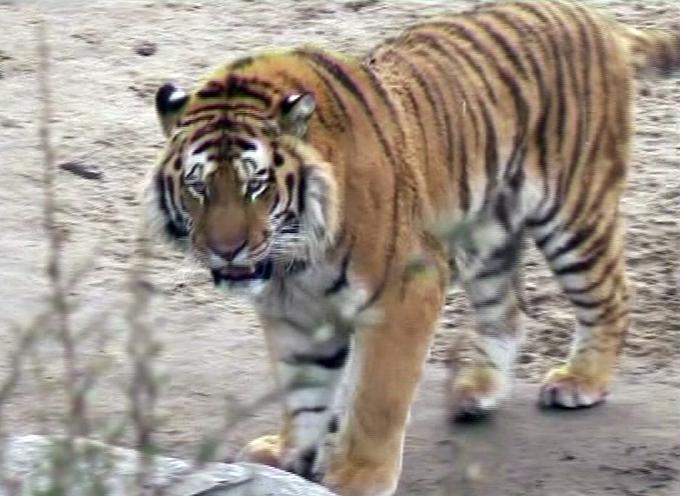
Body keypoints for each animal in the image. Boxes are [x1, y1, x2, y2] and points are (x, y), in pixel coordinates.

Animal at [143, 0, 680, 496]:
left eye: (255, 185)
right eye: (198, 187)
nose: (226, 250)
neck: (293, 261)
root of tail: (596, 18)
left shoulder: (405, 291)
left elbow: (376, 399)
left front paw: (358, 477)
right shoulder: (294, 314)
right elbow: (305, 391)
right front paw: (288, 455)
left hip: (574, 213)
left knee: (611, 295)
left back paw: (580, 381)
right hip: (485, 231)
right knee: (507, 309)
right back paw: (477, 392)